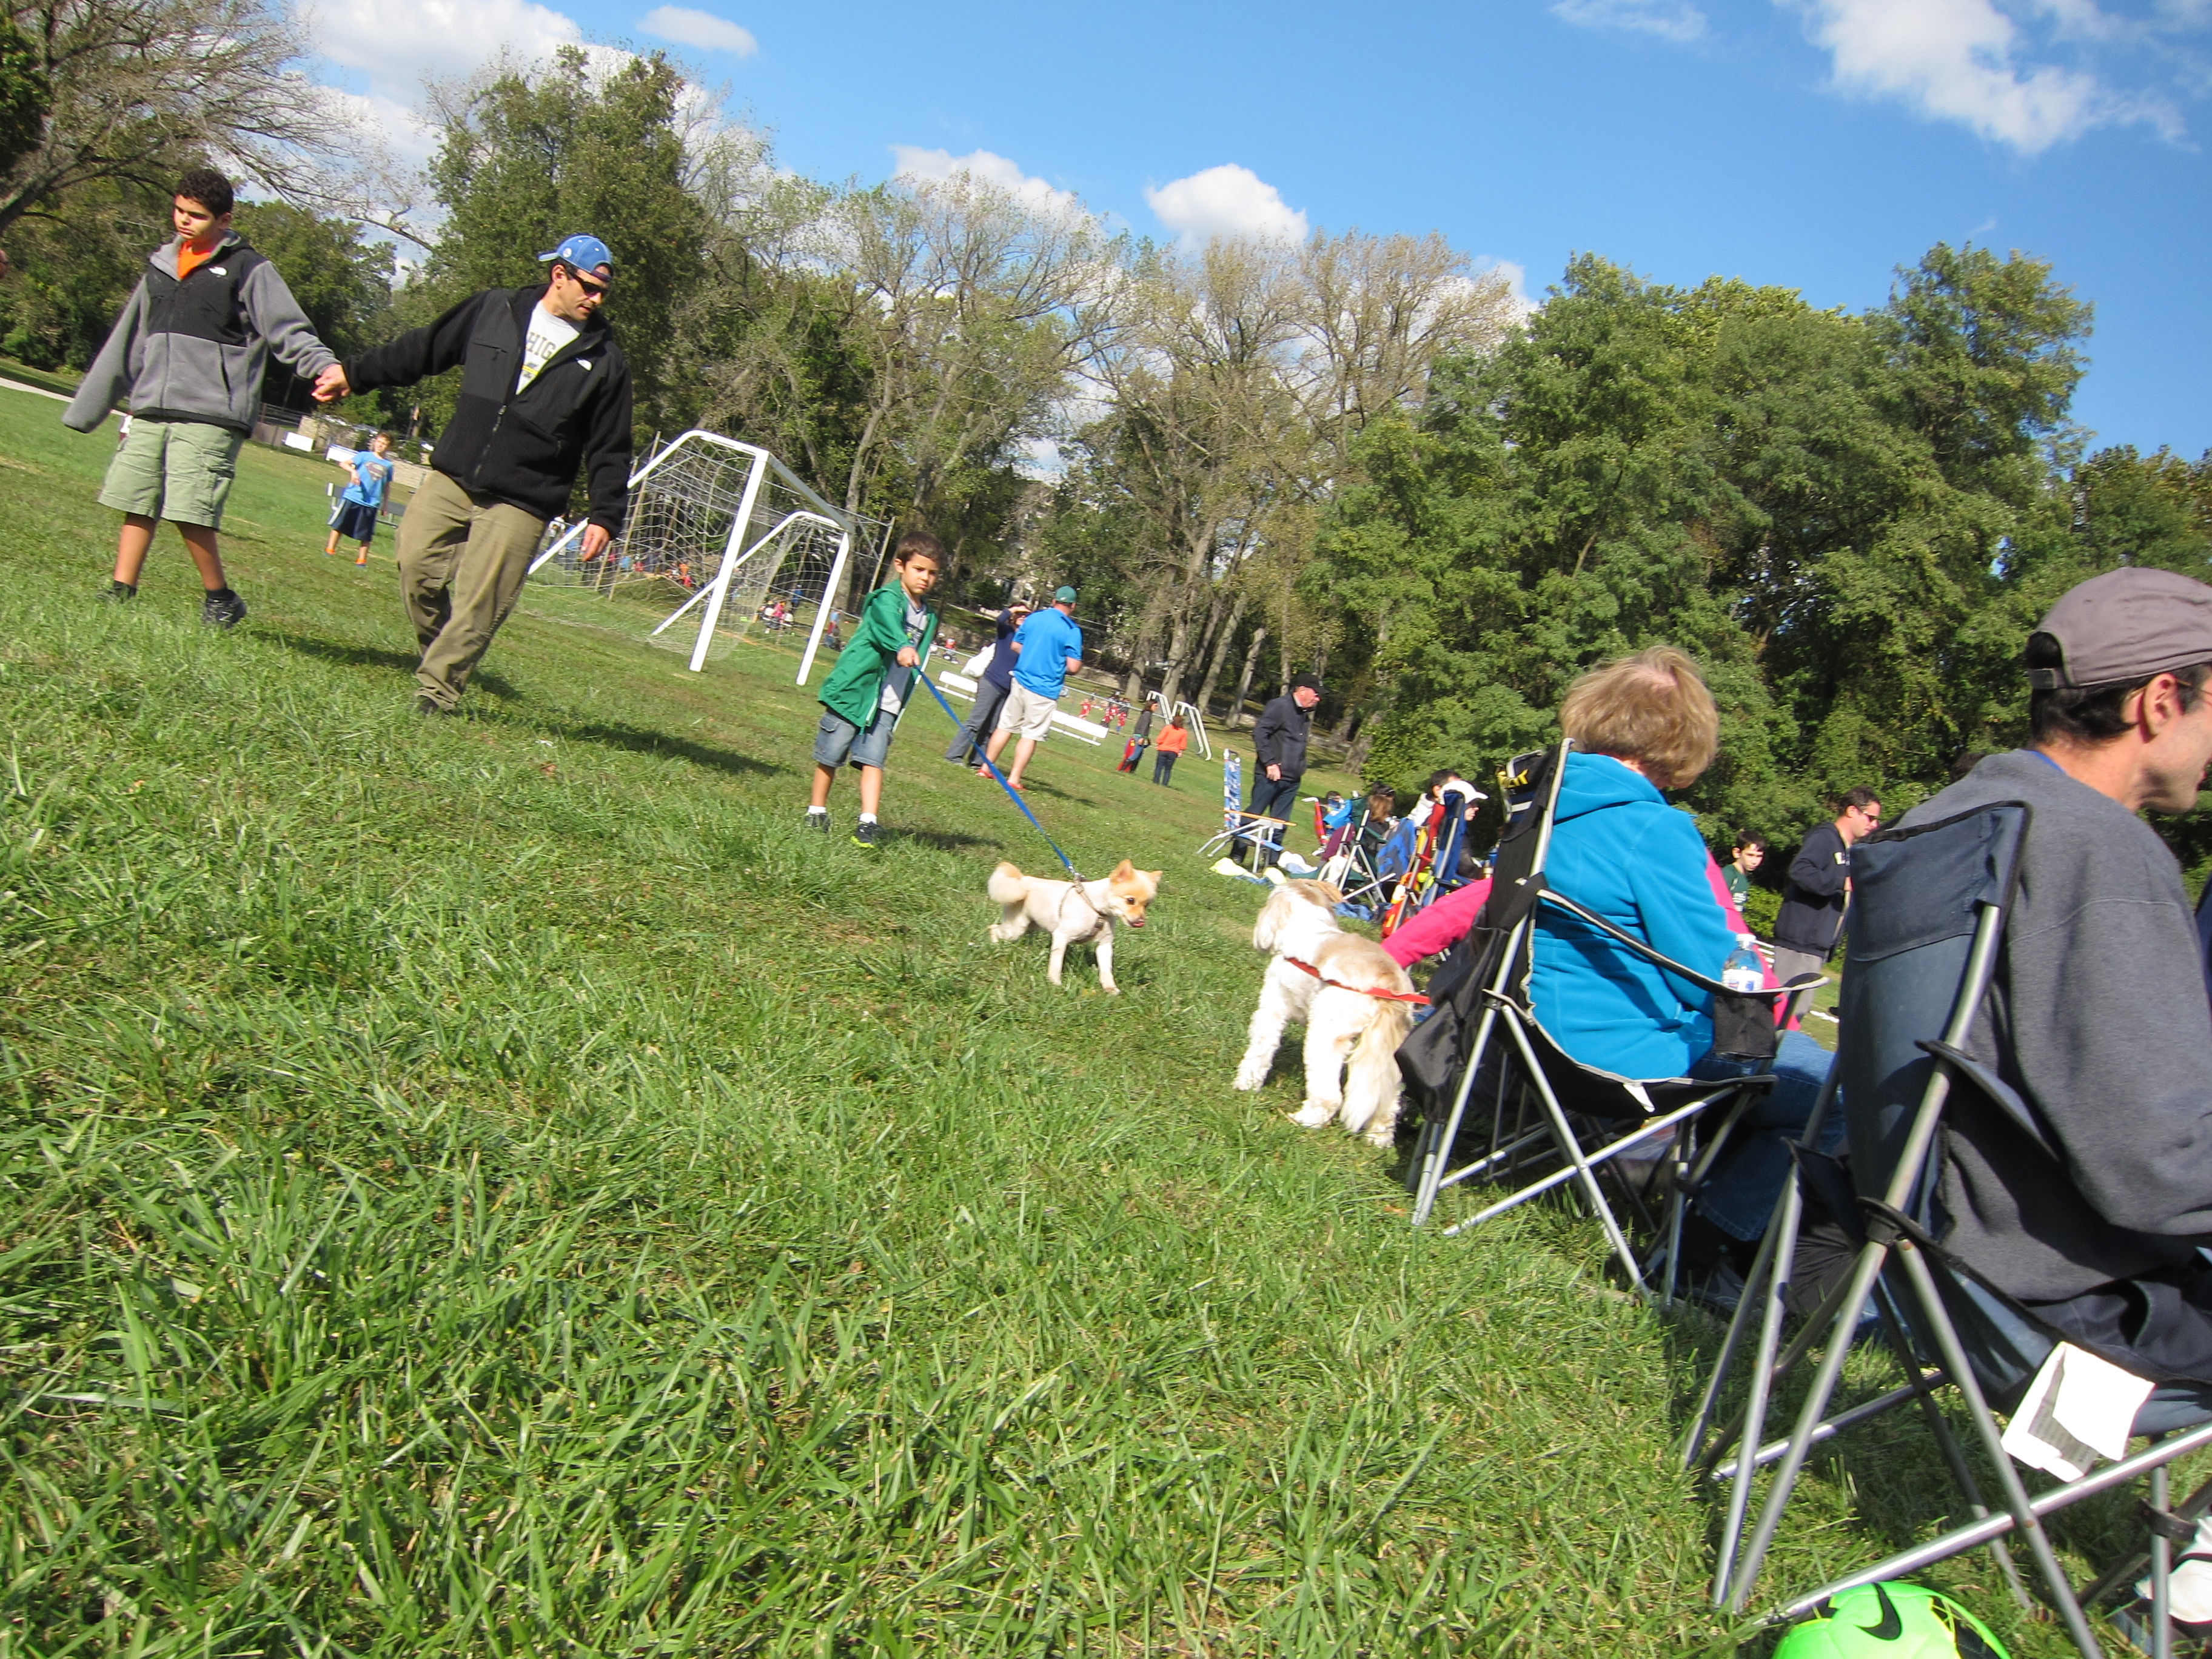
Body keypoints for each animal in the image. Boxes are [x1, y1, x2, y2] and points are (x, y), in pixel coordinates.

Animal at [987, 859, 1161, 993]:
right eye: (1130, 900)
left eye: (1147, 905)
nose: (1141, 921)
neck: (1097, 910)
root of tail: (1022, 880)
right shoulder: (1061, 937)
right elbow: (1056, 965)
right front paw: (1055, 984)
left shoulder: (1105, 945)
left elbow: (1106, 970)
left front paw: (1110, 988)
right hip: (1016, 929)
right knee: (993, 928)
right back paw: (995, 947)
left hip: (1030, 926)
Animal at [1233, 879, 1418, 1146]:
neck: (1309, 925)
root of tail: (1388, 981)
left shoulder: (1273, 1008)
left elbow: (1259, 1053)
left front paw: (1246, 1084)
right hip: (1389, 1055)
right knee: (1388, 1104)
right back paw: (1378, 1139)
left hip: (1326, 1036)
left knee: (1331, 1097)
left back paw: (1306, 1120)